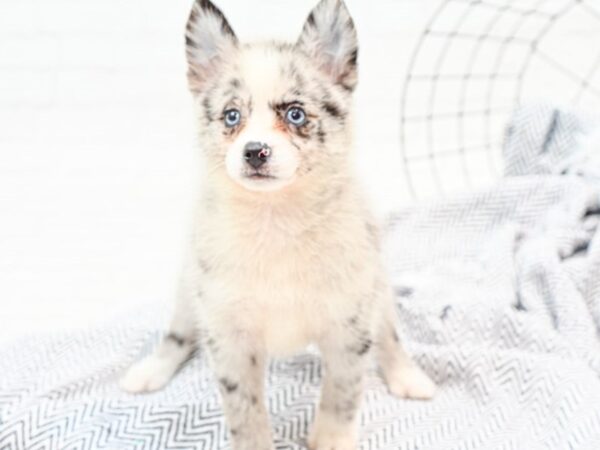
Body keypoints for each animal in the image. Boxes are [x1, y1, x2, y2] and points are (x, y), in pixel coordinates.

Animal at [119, 1, 436, 448]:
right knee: (178, 334)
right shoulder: (229, 336)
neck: (275, 219)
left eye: (295, 113)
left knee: (389, 336)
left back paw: (408, 376)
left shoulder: (349, 325)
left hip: (378, 289)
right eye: (231, 116)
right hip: (187, 290)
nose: (255, 151)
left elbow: (342, 396)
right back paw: (150, 371)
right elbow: (246, 413)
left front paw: (332, 439)